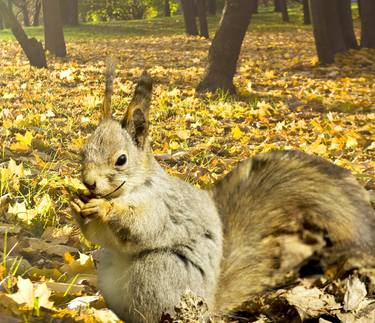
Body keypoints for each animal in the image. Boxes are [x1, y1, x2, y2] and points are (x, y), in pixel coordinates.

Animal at [71, 64, 375, 323]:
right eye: (83, 151)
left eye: (121, 160)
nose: (88, 182)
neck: (130, 189)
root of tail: (208, 306)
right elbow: (100, 237)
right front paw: (77, 204)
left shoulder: (162, 205)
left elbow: (142, 225)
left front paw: (104, 209)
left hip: (157, 274)